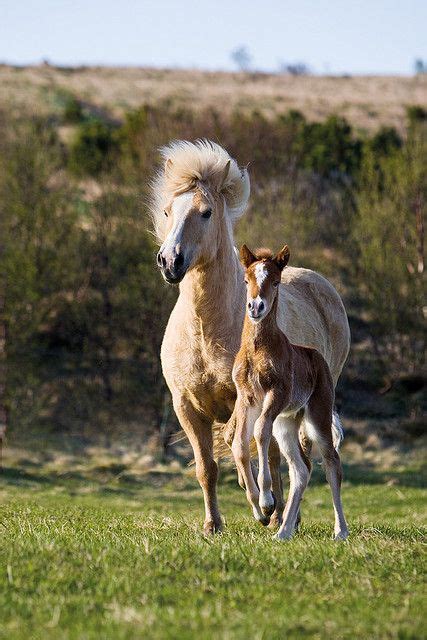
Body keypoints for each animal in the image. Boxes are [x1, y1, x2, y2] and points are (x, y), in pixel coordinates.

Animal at [232, 245, 350, 540]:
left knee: (332, 463)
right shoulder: (247, 399)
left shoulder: (277, 394)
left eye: (275, 282)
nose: (256, 307)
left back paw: (340, 530)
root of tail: (318, 357)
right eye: (246, 280)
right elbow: (240, 443)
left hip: (317, 415)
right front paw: (260, 512)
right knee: (301, 469)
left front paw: (266, 501)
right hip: (286, 422)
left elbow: (260, 431)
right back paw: (283, 531)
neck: (257, 350)